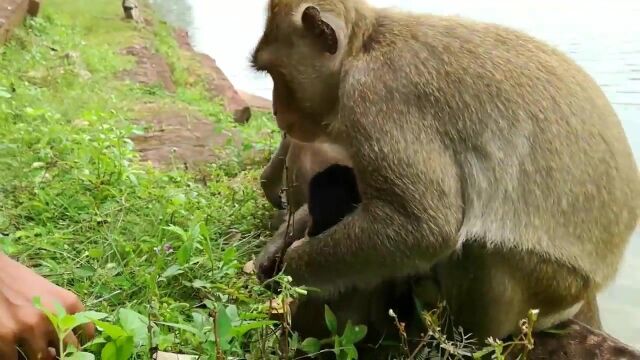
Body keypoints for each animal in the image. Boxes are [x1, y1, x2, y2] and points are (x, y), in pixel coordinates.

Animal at [251, 0, 640, 346]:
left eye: (275, 73)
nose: (276, 110)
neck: (363, 49)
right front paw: (277, 248)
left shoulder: (376, 100)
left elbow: (424, 227)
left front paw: (294, 269)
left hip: (552, 285)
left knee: (480, 247)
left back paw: (452, 334)